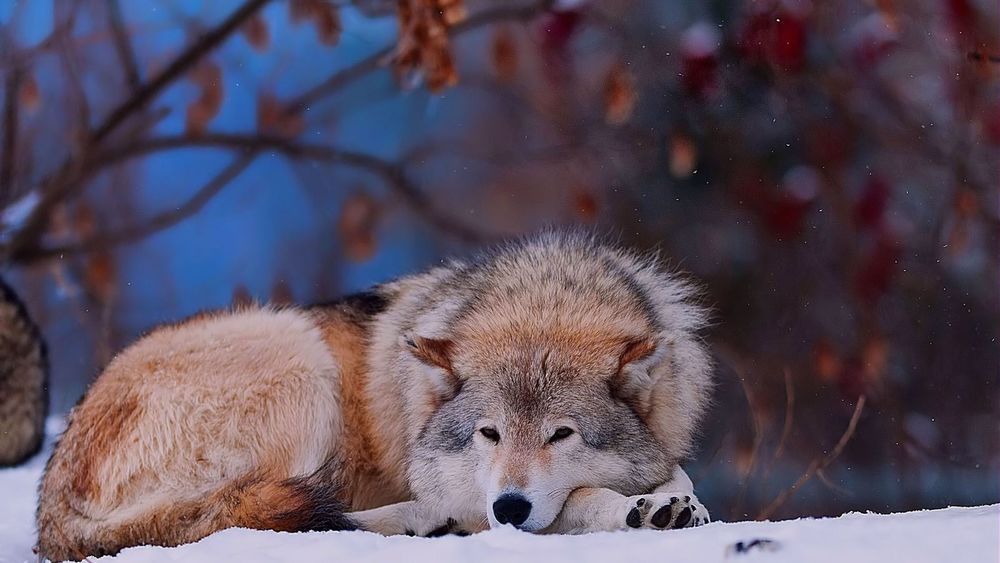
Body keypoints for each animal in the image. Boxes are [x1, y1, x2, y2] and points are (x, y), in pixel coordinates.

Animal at [36, 232, 713, 561]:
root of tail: (51, 502)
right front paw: (637, 510)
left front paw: (674, 502)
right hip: (300, 362)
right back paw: (426, 523)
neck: (545, 297)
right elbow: (576, 500)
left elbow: (675, 470)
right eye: (488, 434)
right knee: (275, 518)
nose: (509, 507)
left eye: (561, 434)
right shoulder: (474, 489)